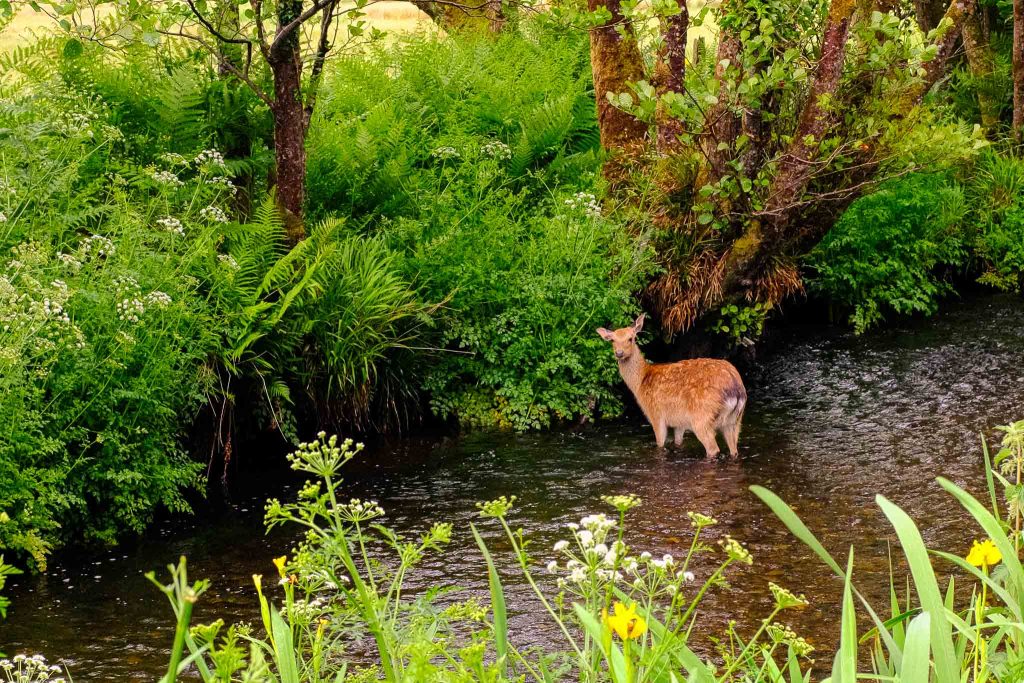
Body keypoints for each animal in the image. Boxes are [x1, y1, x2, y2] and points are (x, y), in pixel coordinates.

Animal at [597, 314, 746, 458]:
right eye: (612, 340)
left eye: (631, 338)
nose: (619, 353)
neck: (641, 382)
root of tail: (736, 389)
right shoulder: (679, 423)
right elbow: (678, 442)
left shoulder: (656, 414)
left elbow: (660, 444)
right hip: (735, 421)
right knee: (734, 450)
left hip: (702, 417)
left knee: (713, 449)